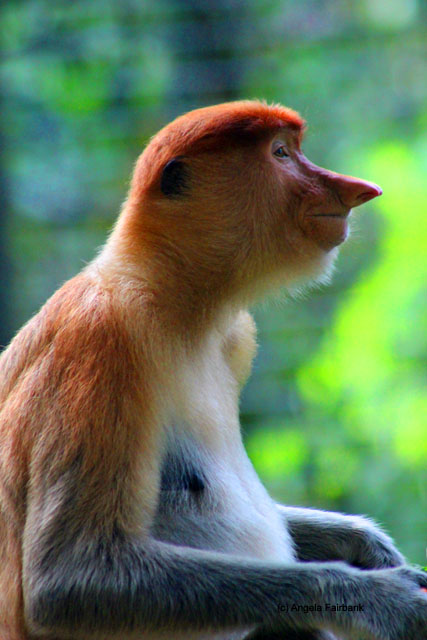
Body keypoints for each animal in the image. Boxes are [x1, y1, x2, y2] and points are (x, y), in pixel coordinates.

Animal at [0, 100, 426, 640]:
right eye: (281, 153)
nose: (357, 190)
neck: (172, 295)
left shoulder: (237, 335)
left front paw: (368, 545)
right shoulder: (100, 342)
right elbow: (69, 579)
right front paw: (381, 597)